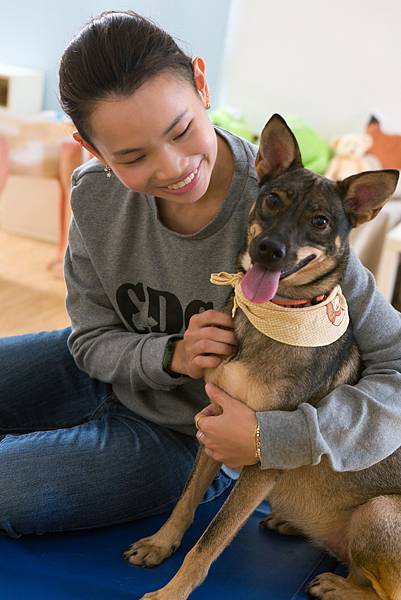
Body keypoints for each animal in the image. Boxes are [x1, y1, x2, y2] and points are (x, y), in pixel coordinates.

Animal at [123, 113, 398, 600]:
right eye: (272, 200)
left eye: (321, 221)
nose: (268, 249)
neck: (276, 317)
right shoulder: (215, 422)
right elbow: (186, 501)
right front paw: (160, 543)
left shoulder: (258, 458)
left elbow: (211, 539)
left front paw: (170, 592)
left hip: (378, 512)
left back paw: (338, 586)